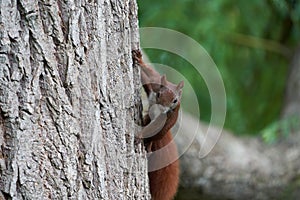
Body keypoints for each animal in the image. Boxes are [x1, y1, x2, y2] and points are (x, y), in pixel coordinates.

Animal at [132, 50, 184, 200]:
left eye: (175, 100)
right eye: (160, 94)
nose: (162, 108)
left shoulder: (164, 119)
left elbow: (154, 127)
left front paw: (139, 135)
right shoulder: (154, 85)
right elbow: (150, 77)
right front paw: (139, 59)